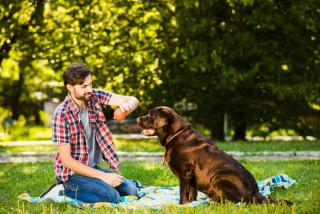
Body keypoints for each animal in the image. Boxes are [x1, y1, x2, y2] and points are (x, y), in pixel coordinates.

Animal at [136, 106, 292, 205]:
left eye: (150, 115)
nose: (137, 118)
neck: (175, 135)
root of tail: (255, 193)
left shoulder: (185, 173)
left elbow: (183, 192)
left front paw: (181, 205)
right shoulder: (192, 176)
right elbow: (192, 192)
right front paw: (192, 204)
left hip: (220, 176)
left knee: (232, 202)